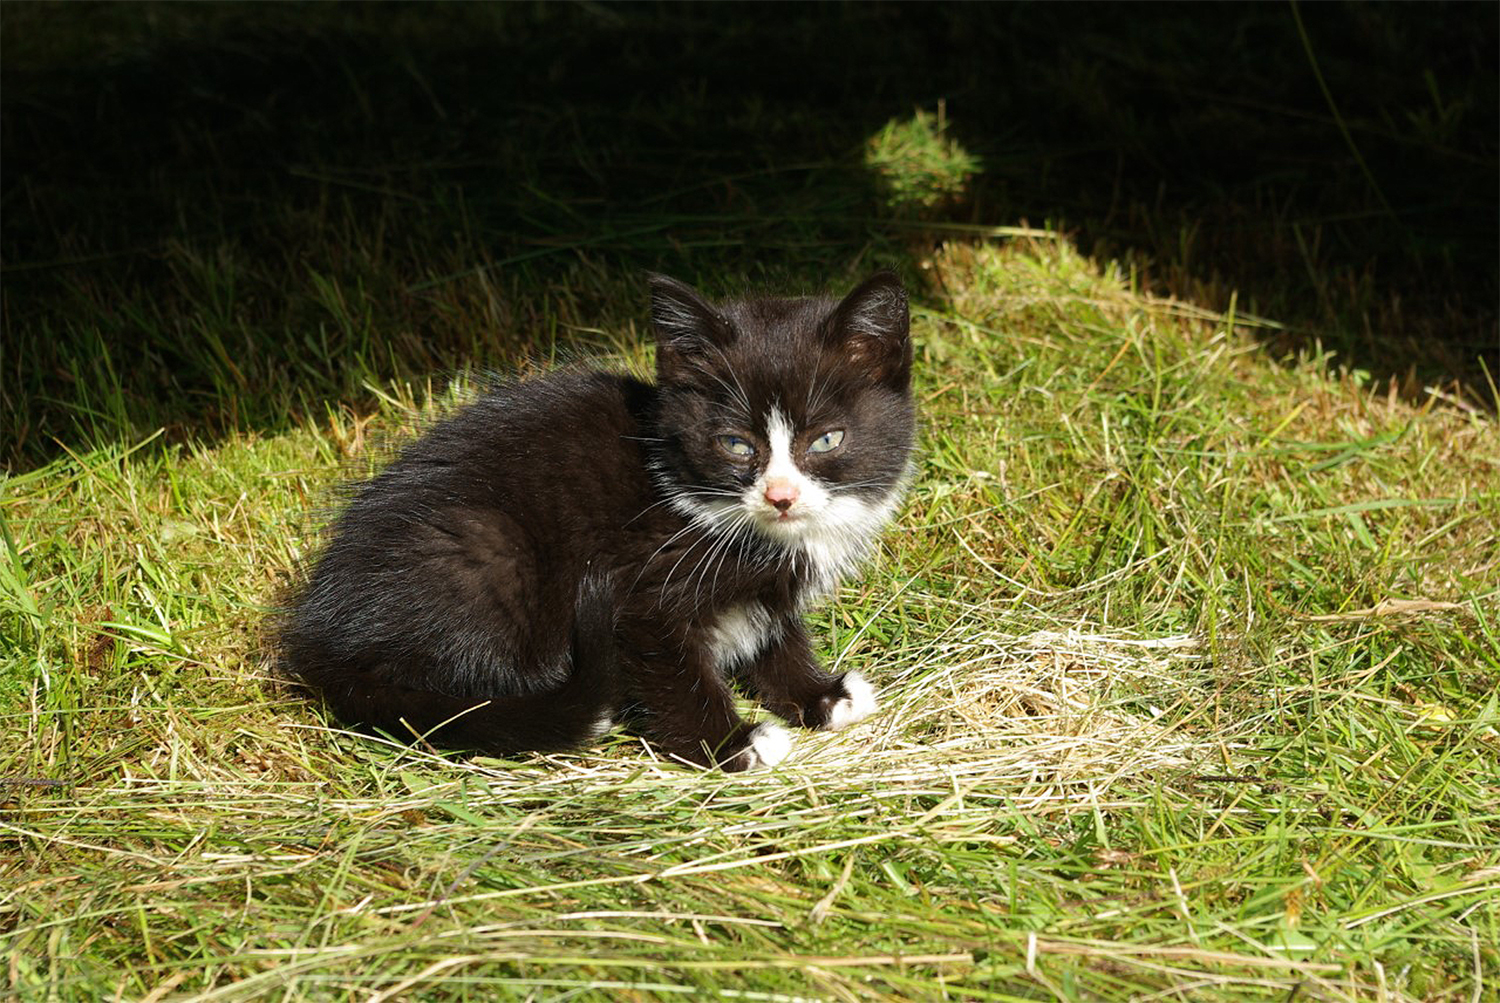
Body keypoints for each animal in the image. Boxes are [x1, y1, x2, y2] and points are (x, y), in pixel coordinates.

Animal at [279, 269, 912, 773]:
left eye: (826, 440)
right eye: (735, 444)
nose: (781, 497)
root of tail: (323, 642)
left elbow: (775, 634)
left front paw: (820, 695)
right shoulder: (643, 588)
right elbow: (674, 670)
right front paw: (730, 744)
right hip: (488, 550)